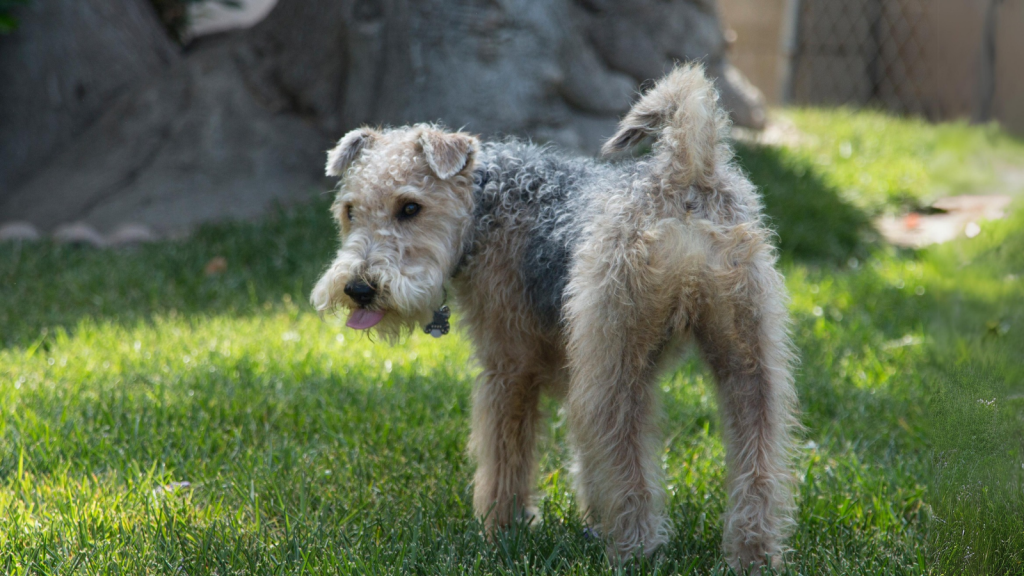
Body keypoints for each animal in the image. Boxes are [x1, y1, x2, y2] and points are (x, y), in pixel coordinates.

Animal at [311, 63, 798, 569]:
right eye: (349, 211)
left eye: (410, 207)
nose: (359, 289)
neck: (486, 206)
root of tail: (682, 175)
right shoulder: (569, 362)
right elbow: (584, 460)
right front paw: (588, 518)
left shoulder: (509, 367)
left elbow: (506, 455)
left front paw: (499, 531)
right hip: (748, 361)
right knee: (759, 466)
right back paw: (754, 555)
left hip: (614, 364)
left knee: (630, 468)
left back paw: (634, 552)